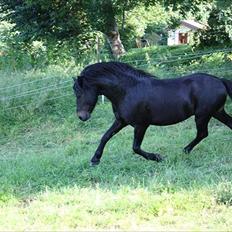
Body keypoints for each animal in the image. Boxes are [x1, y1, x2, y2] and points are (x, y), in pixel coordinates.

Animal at [73, 59, 232, 165]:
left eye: (79, 93)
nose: (81, 117)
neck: (127, 91)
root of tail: (220, 81)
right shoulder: (121, 121)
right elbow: (105, 137)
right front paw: (95, 159)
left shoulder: (141, 125)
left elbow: (136, 147)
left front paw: (157, 157)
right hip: (216, 112)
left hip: (202, 115)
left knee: (202, 133)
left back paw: (185, 150)